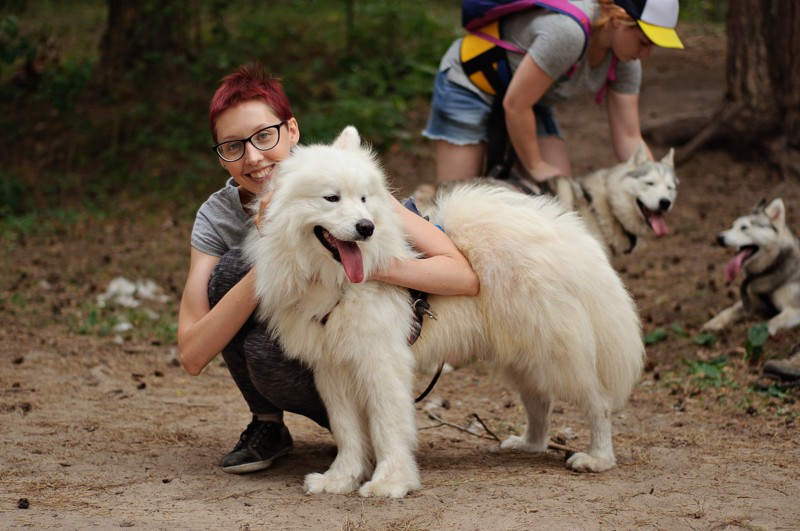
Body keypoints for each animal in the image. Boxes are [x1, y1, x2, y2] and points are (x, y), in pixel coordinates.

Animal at [244, 125, 644, 498]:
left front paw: (389, 483)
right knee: (539, 400)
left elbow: (387, 426)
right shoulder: (333, 367)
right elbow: (347, 432)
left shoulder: (381, 361)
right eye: (331, 198)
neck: (337, 283)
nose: (366, 227)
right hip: (523, 353)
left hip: (556, 352)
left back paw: (597, 458)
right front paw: (340, 479)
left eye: (364, 198)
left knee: (597, 403)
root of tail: (572, 237)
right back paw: (529, 444)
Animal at [700, 200, 800, 336]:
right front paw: (713, 323)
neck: (770, 270)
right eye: (732, 226)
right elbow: (729, 311)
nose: (718, 238)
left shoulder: (795, 309)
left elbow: (773, 321)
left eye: (744, 227)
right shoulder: (749, 301)